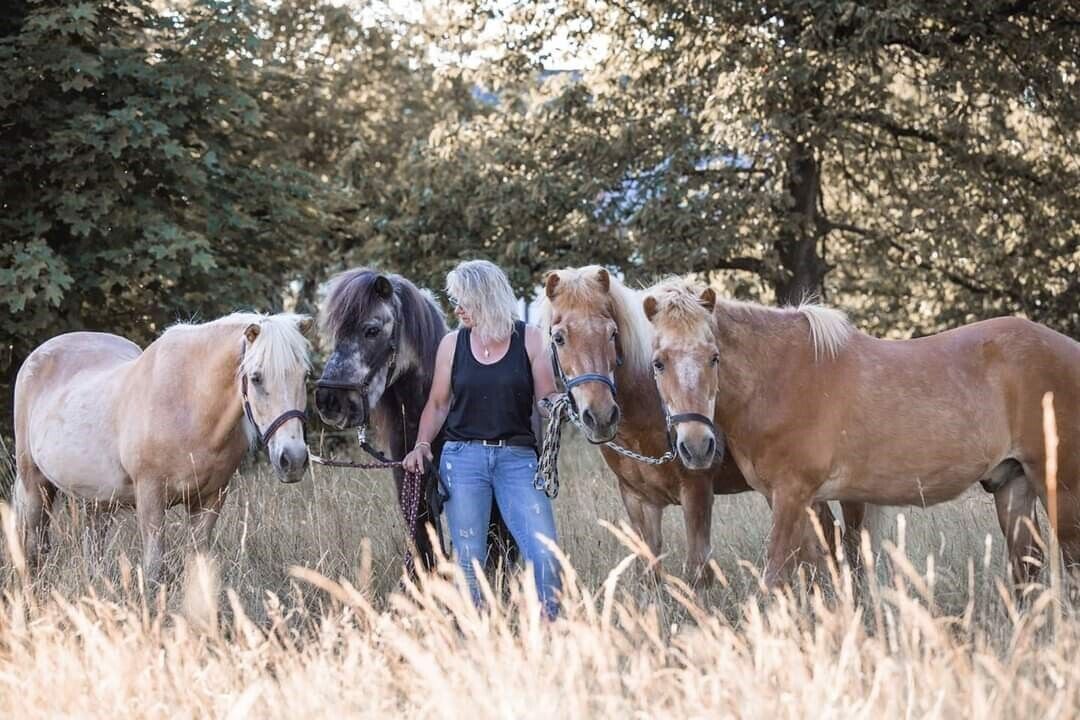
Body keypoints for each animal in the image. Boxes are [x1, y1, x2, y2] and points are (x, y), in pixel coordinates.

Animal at [13, 312, 311, 581]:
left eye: (305, 376)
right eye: (257, 377)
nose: (293, 460)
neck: (190, 404)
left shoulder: (211, 500)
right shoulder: (150, 497)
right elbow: (154, 569)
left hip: (98, 500)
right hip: (35, 485)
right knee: (34, 550)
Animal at [539, 266, 867, 583]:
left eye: (612, 333)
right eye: (559, 338)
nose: (601, 416)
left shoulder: (696, 490)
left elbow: (698, 571)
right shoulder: (638, 500)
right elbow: (649, 572)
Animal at [642, 278, 1079, 588]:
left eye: (714, 357)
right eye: (658, 362)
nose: (696, 446)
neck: (779, 379)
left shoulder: (792, 495)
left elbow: (777, 576)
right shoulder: (797, 501)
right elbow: (818, 573)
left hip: (1060, 487)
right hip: (1013, 484)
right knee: (1027, 570)